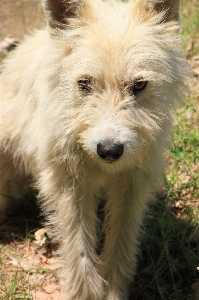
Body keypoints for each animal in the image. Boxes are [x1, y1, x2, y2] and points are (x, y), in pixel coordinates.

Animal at [0, 0, 188, 300]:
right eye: (84, 83)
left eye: (139, 85)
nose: (109, 150)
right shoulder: (69, 184)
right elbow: (79, 248)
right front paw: (85, 293)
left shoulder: (132, 182)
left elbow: (121, 237)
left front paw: (112, 289)